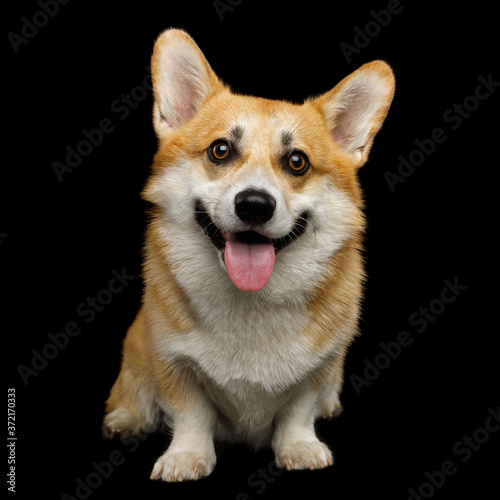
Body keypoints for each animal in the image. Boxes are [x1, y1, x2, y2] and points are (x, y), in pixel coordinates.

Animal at [103, 27, 396, 480]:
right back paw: (127, 419)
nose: (255, 205)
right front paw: (186, 456)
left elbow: (299, 410)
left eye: (297, 162)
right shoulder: (173, 360)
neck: (251, 300)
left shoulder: (321, 365)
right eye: (220, 150)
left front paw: (300, 447)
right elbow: (190, 412)